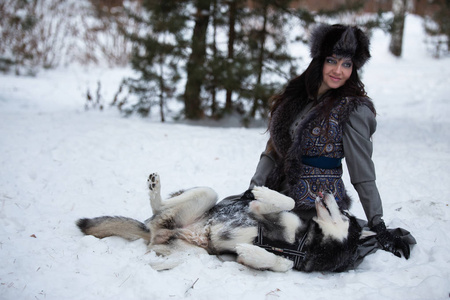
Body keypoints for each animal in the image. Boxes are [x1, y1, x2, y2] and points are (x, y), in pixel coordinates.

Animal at [77, 172, 372, 274]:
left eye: (345, 215)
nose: (327, 191)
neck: (304, 243)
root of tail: (155, 231)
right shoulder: (258, 211)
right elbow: (285, 200)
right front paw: (264, 192)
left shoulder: (291, 260)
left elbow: (281, 264)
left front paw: (253, 252)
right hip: (208, 194)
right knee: (158, 206)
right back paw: (155, 189)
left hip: (195, 256)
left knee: (162, 257)